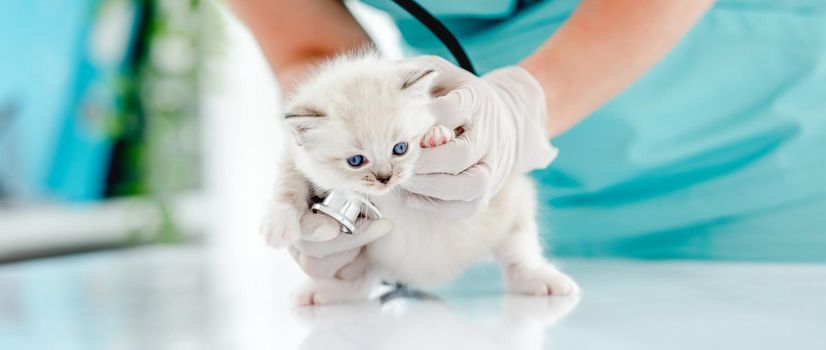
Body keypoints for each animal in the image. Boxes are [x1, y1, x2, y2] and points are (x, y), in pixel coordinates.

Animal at [260, 50, 576, 304]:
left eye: (400, 148)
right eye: (356, 161)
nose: (385, 178)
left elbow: (449, 131)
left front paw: (437, 135)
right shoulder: (295, 158)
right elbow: (287, 186)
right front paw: (277, 225)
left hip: (517, 211)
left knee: (519, 257)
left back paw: (545, 282)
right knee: (363, 280)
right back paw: (321, 291)